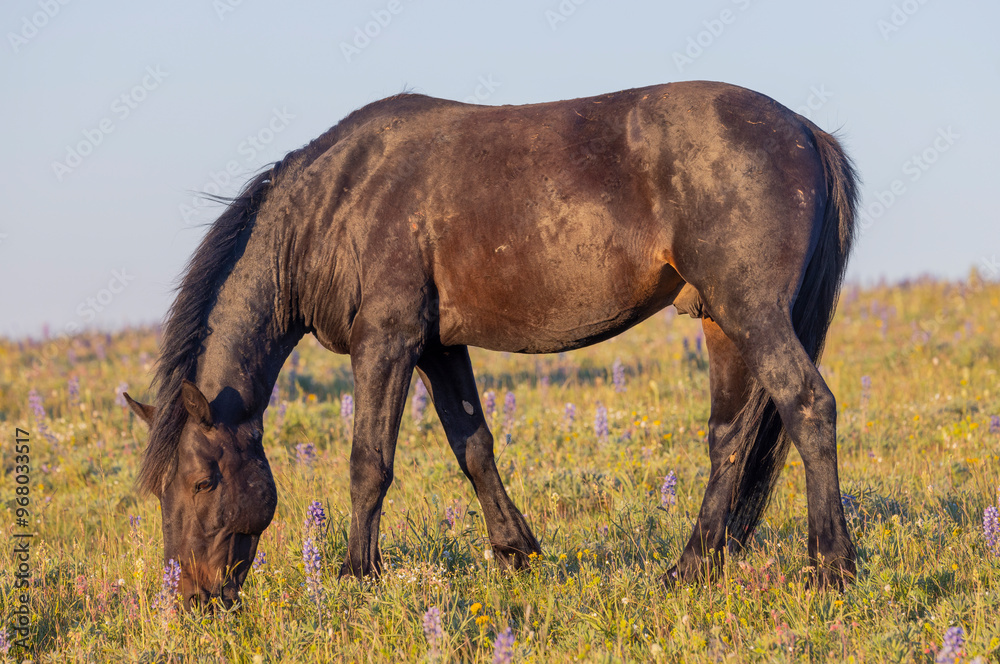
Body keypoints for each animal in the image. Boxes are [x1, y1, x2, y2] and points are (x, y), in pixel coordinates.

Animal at [124, 80, 859, 609]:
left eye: (200, 481)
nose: (189, 597)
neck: (339, 202)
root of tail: (804, 130)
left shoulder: (387, 340)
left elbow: (369, 462)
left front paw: (358, 575)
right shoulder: (438, 348)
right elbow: (474, 447)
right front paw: (516, 552)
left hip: (751, 312)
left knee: (809, 406)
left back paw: (831, 568)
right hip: (719, 322)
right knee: (729, 439)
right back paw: (691, 568)